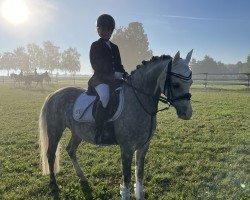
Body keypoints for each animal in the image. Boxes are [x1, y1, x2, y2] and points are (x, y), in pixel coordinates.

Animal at [39, 49, 193, 198]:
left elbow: (139, 175)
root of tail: (54, 94)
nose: (187, 113)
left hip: (77, 132)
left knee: (71, 150)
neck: (139, 100)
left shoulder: (143, 147)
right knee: (51, 154)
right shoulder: (126, 148)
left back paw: (82, 177)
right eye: (176, 84)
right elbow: (127, 180)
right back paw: (53, 183)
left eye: (191, 82)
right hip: (55, 130)